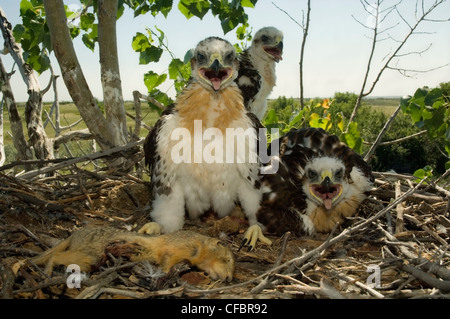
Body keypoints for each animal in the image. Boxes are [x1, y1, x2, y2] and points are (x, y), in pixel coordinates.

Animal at [32, 228, 236, 282]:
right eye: (227, 260)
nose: (229, 279)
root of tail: (74, 234)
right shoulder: (177, 248)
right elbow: (166, 261)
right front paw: (164, 274)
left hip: (87, 260)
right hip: (87, 253)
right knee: (55, 256)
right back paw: (47, 272)